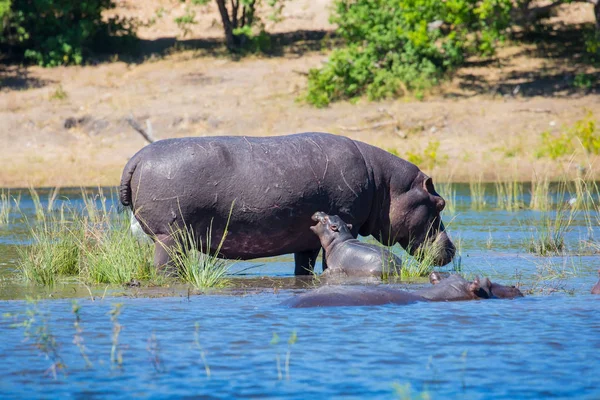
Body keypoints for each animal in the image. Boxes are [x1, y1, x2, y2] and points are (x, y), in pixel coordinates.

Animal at [118, 131, 454, 276]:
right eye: (440, 203)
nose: (451, 248)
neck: (386, 184)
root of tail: (135, 159)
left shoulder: (306, 240)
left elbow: (303, 268)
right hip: (169, 238)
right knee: (164, 267)